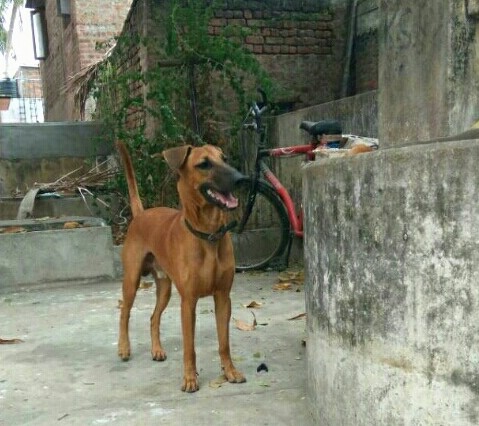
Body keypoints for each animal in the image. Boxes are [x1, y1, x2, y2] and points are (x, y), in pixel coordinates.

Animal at [115, 141, 244, 392]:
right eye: (204, 164)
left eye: (225, 159)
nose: (241, 178)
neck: (208, 235)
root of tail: (141, 214)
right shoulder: (188, 302)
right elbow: (189, 347)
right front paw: (190, 378)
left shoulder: (223, 297)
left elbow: (224, 342)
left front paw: (230, 371)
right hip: (132, 280)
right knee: (124, 312)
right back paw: (124, 347)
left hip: (165, 288)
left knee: (153, 318)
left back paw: (156, 349)